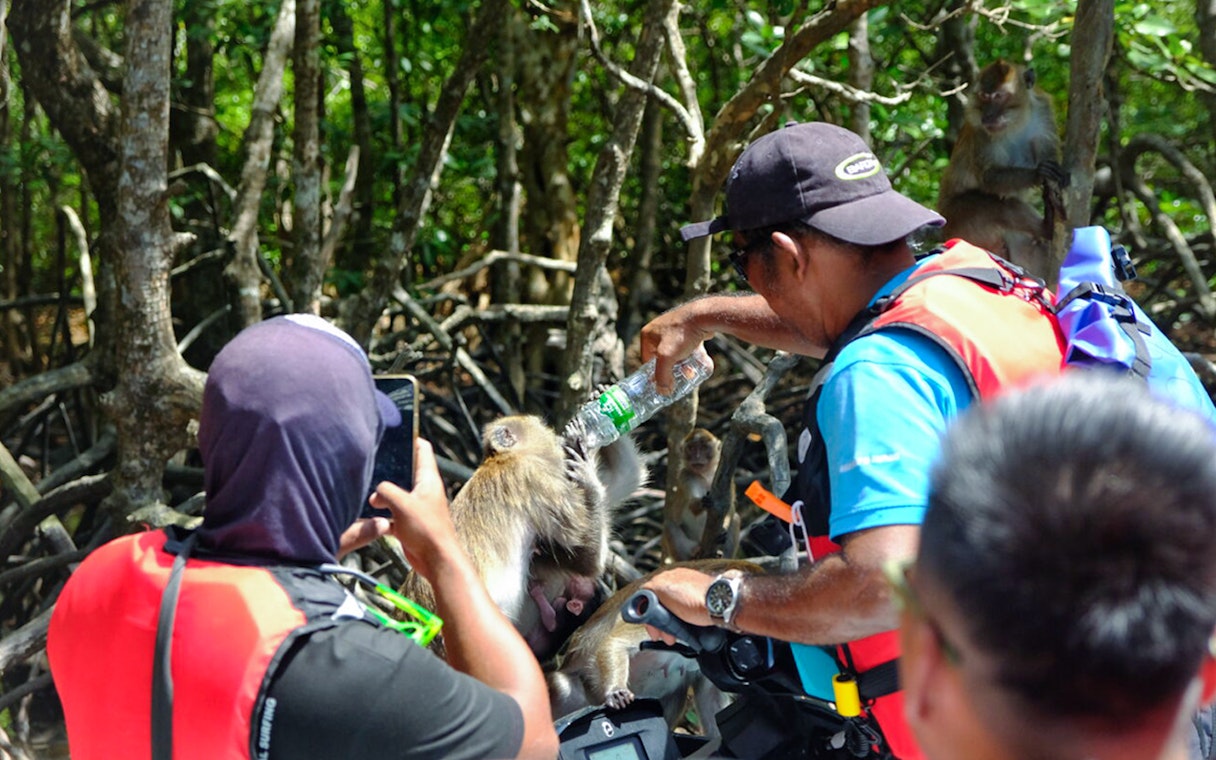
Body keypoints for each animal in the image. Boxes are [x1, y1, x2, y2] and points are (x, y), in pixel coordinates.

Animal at [399, 414, 646, 659]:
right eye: (544, 426)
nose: (558, 435)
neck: (502, 460)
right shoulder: (536, 477)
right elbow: (587, 560)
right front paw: (587, 474)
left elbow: (625, 478)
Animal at [937, 59, 1068, 279]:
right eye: (984, 96)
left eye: (999, 96)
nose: (988, 116)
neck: (1016, 122)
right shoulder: (979, 129)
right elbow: (989, 177)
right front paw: (1037, 174)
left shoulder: (1042, 111)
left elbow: (1047, 153)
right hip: (960, 220)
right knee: (997, 207)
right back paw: (1047, 228)